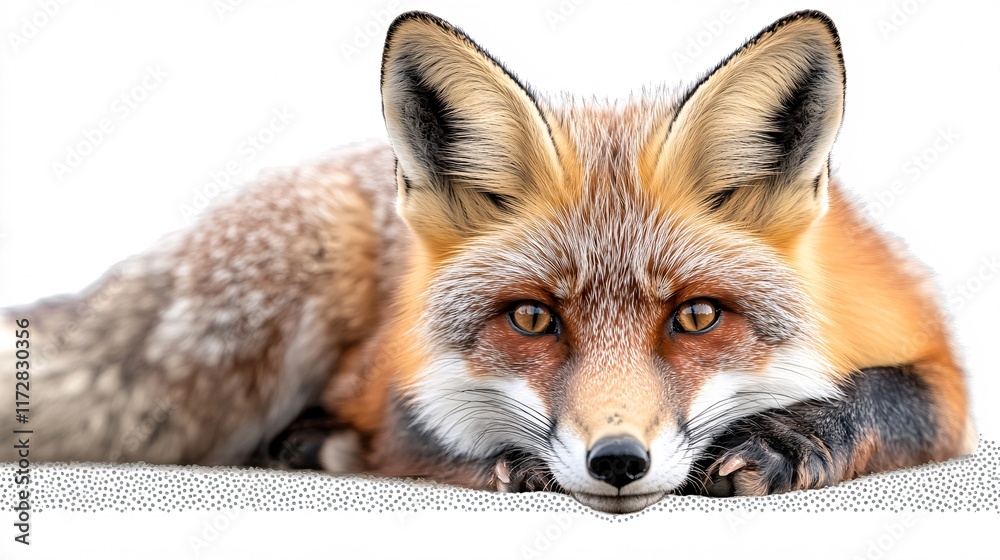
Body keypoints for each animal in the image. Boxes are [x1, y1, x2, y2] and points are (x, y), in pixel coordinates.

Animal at [0, 10, 977, 514]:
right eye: (533, 318)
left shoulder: (937, 365)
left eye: (697, 317)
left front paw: (787, 437)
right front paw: (507, 460)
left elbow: (893, 397)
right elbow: (421, 432)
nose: (615, 462)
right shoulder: (399, 385)